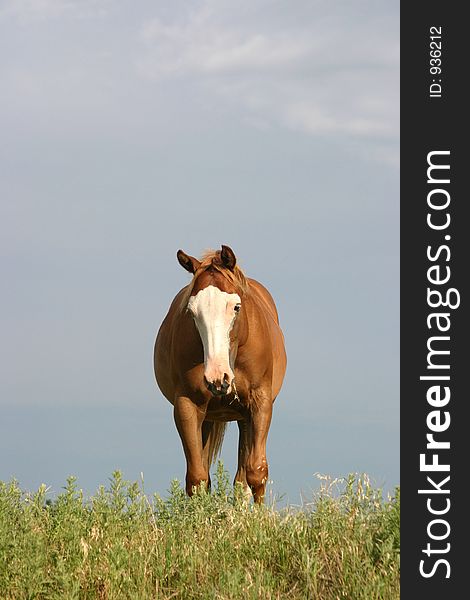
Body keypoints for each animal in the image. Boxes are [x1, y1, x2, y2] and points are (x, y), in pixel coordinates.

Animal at [154, 244, 286, 502]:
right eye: (191, 311)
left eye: (236, 307)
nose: (217, 377)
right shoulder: (186, 405)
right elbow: (197, 478)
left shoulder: (260, 403)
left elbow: (256, 473)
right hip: (206, 417)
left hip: (244, 418)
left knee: (242, 478)